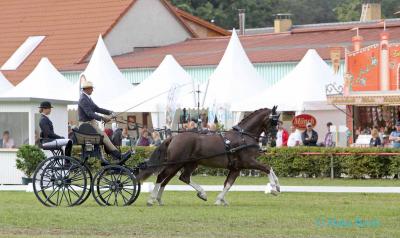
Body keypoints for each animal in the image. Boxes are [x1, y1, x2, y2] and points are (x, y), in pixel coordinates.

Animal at [138, 107, 282, 205]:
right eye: (273, 121)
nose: (274, 140)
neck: (243, 136)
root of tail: (174, 137)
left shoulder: (236, 168)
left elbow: (228, 184)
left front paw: (220, 200)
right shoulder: (248, 162)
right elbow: (267, 168)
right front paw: (274, 188)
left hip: (186, 164)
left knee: (179, 178)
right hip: (176, 163)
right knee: (162, 177)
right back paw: (152, 199)